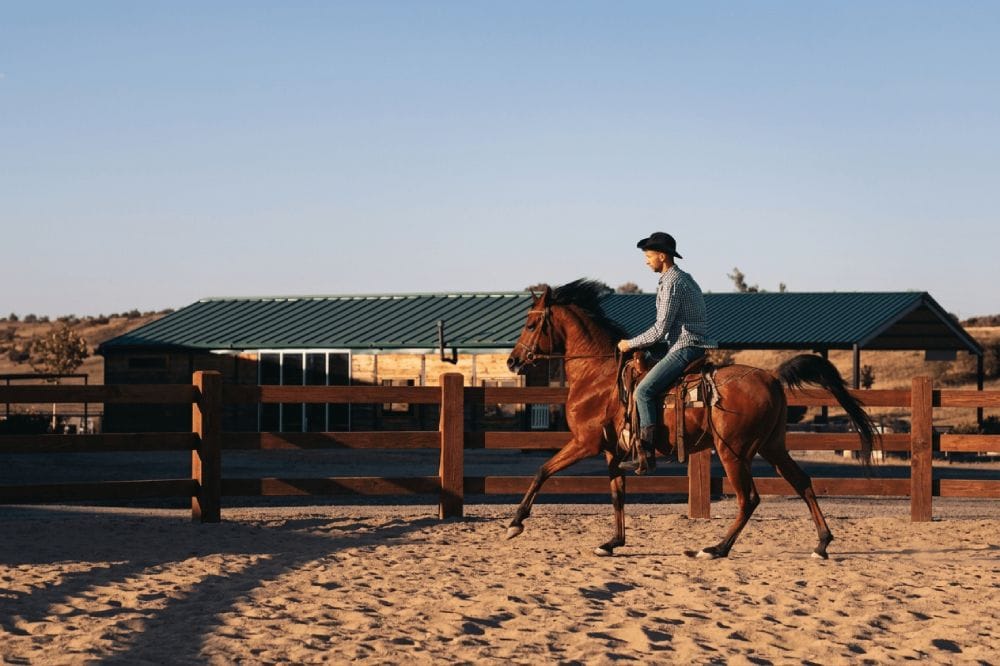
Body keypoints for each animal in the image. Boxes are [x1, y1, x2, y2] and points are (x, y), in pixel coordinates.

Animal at [504, 279, 879, 559]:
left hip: (733, 452)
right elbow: (617, 494)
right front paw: (612, 543)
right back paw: (822, 543)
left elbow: (543, 471)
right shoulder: (612, 450)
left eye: (532, 324)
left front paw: (516, 522)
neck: (598, 376)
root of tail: (771, 376)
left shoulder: (585, 443)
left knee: (749, 498)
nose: (512, 361)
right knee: (801, 482)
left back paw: (716, 548)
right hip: (772, 447)